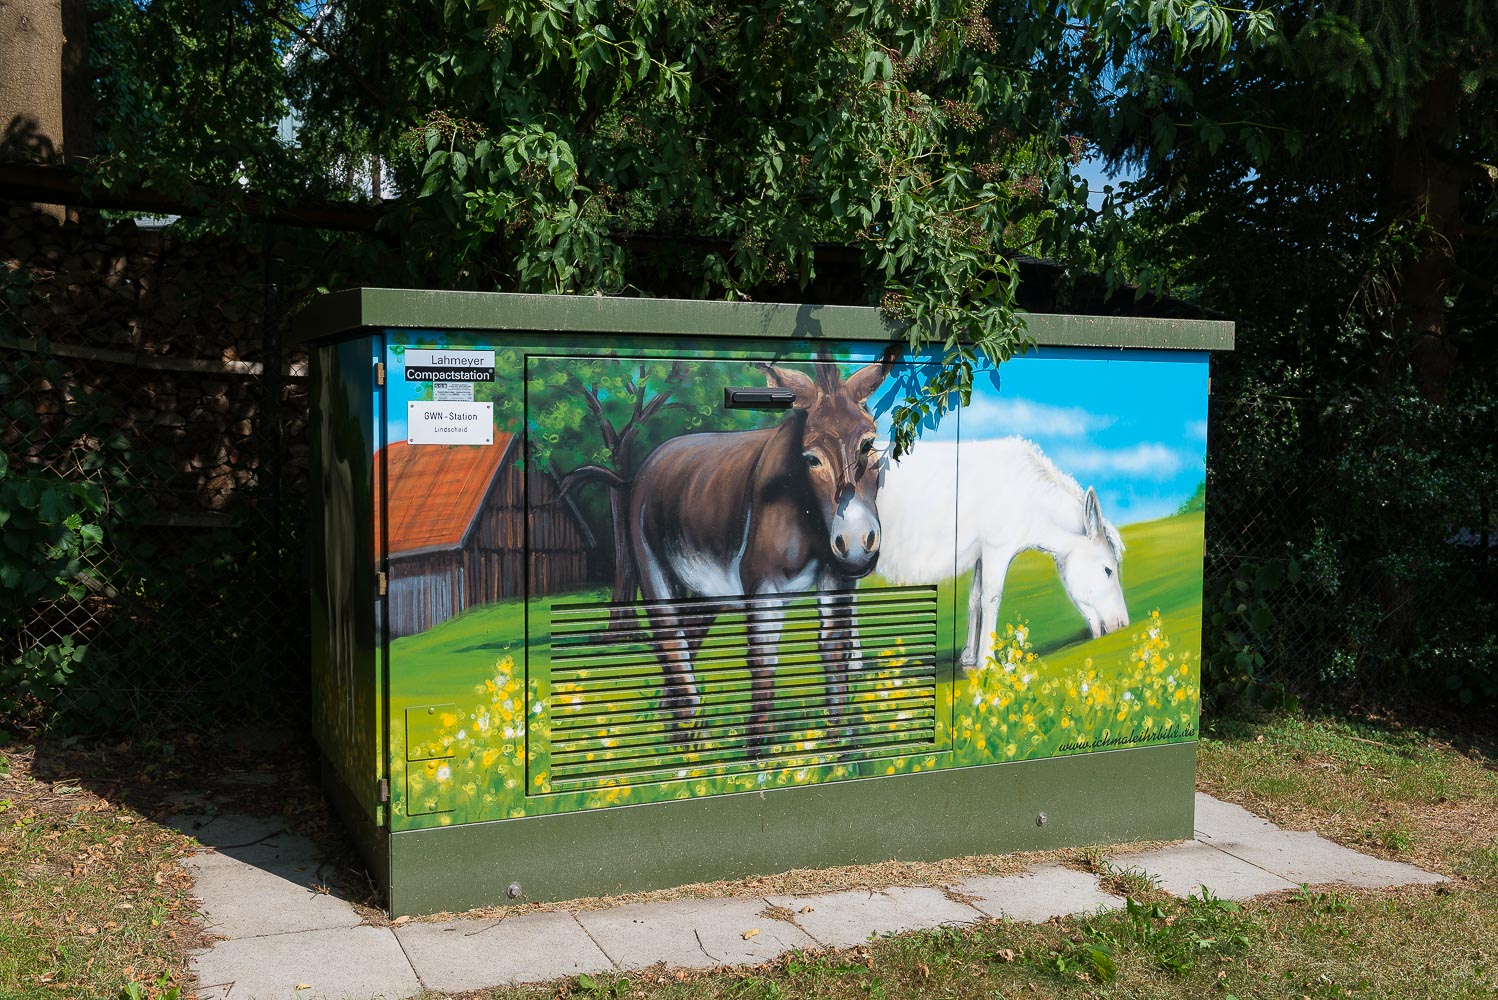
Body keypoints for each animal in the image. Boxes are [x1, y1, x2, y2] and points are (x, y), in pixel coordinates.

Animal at [562, 357, 891, 756]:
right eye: (811, 458)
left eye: (868, 444)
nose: (857, 544)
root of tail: (640, 471)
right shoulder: (764, 586)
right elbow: (762, 663)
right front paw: (757, 759)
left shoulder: (837, 578)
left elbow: (834, 649)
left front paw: (838, 752)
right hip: (652, 565)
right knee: (672, 643)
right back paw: (687, 750)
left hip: (709, 593)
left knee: (682, 646)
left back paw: (675, 736)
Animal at [873, 436, 1129, 670]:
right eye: (1108, 570)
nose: (1124, 626)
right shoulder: (996, 550)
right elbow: (991, 599)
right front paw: (986, 662)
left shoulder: (981, 554)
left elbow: (975, 600)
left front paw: (969, 657)